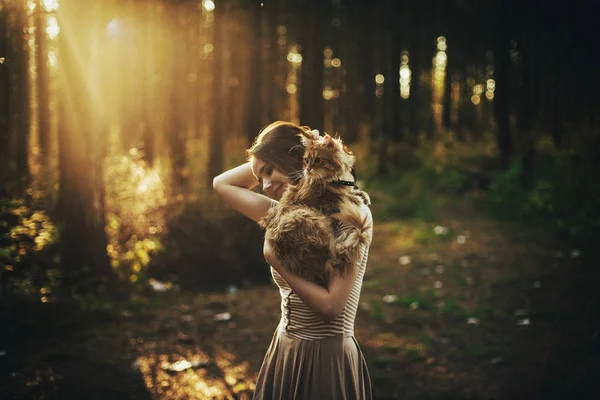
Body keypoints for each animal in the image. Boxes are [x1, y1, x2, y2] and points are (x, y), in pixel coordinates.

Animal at [258, 130, 370, 286]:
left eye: (317, 160)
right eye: (306, 160)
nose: (308, 169)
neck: (337, 180)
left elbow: (352, 191)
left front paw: (362, 194)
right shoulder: (323, 200)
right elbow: (344, 195)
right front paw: (356, 197)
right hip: (302, 215)